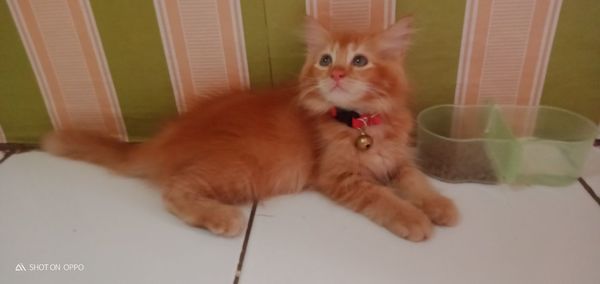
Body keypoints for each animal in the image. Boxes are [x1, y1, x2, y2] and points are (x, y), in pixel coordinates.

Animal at [42, 16, 458, 241]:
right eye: (325, 60)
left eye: (359, 61)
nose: (337, 74)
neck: (360, 123)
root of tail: (164, 138)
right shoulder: (338, 177)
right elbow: (384, 198)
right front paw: (413, 219)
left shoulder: (398, 159)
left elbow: (417, 180)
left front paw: (440, 206)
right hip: (243, 169)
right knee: (174, 191)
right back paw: (221, 217)